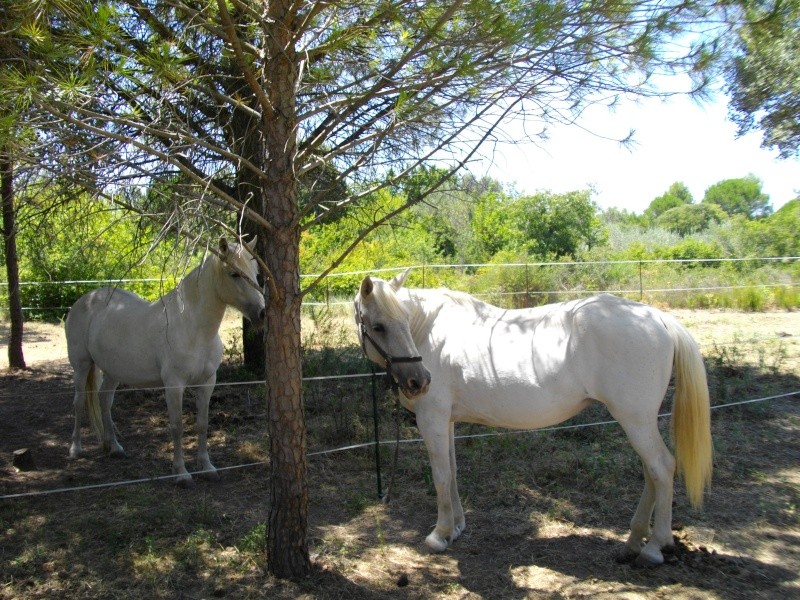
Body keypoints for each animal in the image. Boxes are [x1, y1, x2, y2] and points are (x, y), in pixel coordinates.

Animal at [66, 237, 266, 486]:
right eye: (234, 274)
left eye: (256, 273)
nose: (262, 313)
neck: (192, 328)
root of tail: (86, 299)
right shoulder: (174, 385)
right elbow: (177, 427)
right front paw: (181, 473)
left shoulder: (207, 383)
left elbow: (202, 424)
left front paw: (207, 467)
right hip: (81, 365)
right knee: (78, 402)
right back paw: (75, 449)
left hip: (113, 372)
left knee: (105, 401)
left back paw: (115, 448)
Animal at [356, 272, 712, 568]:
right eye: (379, 326)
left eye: (402, 319)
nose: (419, 381)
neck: (428, 331)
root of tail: (658, 317)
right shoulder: (447, 421)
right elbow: (454, 473)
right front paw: (456, 528)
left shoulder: (432, 419)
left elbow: (441, 477)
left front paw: (438, 535)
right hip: (639, 421)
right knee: (652, 472)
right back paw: (634, 541)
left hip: (635, 419)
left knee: (662, 467)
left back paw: (654, 547)